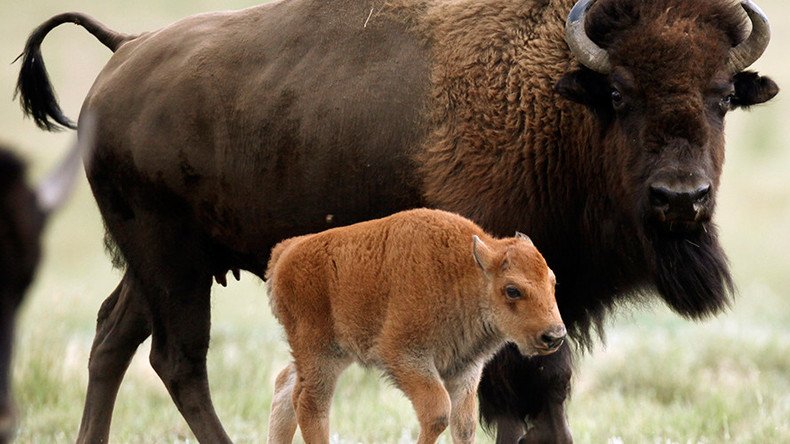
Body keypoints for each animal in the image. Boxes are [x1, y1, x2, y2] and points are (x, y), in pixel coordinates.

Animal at [270, 209, 568, 444]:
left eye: (553, 281)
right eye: (512, 290)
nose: (554, 336)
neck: (463, 273)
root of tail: (287, 251)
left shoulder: (464, 371)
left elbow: (464, 425)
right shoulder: (405, 357)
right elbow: (437, 413)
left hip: (332, 354)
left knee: (286, 386)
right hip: (321, 354)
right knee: (310, 405)